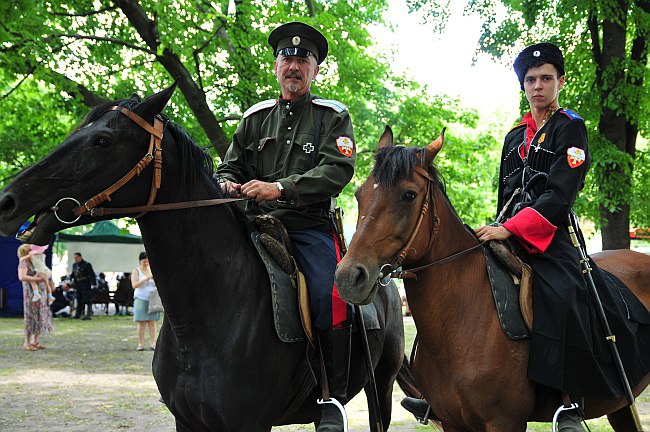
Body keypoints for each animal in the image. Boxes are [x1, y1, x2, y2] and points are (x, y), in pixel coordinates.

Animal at [0, 82, 404, 430]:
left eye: (103, 140)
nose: (8, 201)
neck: (201, 320)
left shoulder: (249, 424)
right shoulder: (187, 420)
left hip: (381, 389)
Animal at [334, 126, 648, 430]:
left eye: (408, 195)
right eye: (359, 194)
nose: (349, 277)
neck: (459, 322)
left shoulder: (504, 421)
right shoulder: (453, 423)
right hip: (619, 406)